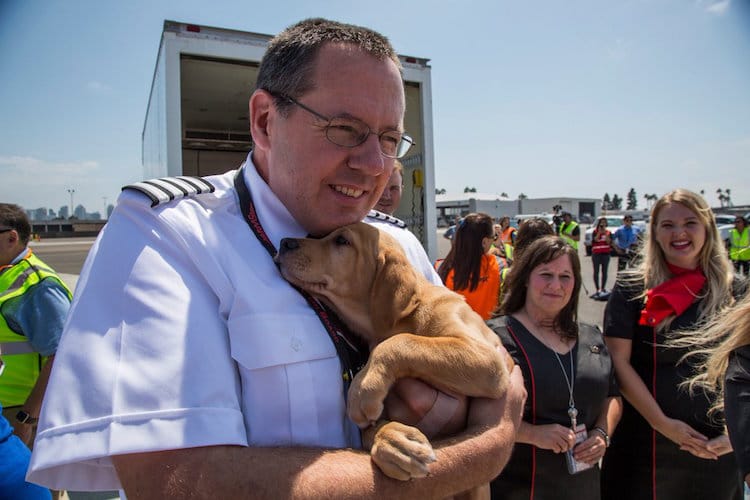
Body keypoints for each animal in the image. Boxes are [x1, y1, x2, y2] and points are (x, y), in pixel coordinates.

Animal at [274, 223, 516, 484]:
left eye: (341, 241)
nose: (284, 243)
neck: (407, 316)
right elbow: (368, 430)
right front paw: (394, 442)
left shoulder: (487, 358)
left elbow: (401, 341)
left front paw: (362, 389)